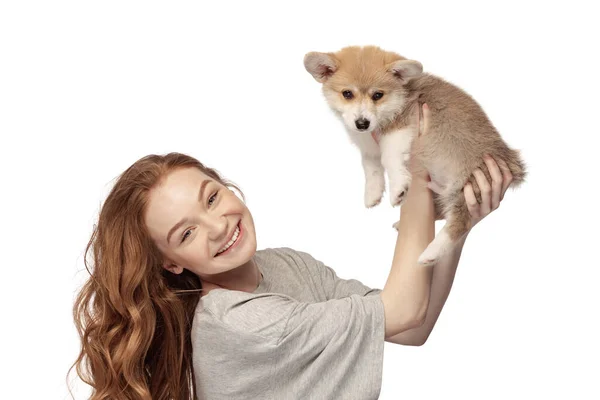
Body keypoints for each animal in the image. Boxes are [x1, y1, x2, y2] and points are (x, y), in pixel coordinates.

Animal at [304, 45, 524, 266]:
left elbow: (388, 159)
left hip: (467, 184)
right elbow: (370, 166)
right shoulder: (369, 146)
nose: (362, 123)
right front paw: (372, 194)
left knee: (459, 222)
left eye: (378, 95)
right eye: (347, 94)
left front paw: (398, 189)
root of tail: (513, 164)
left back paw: (431, 253)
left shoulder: (399, 130)